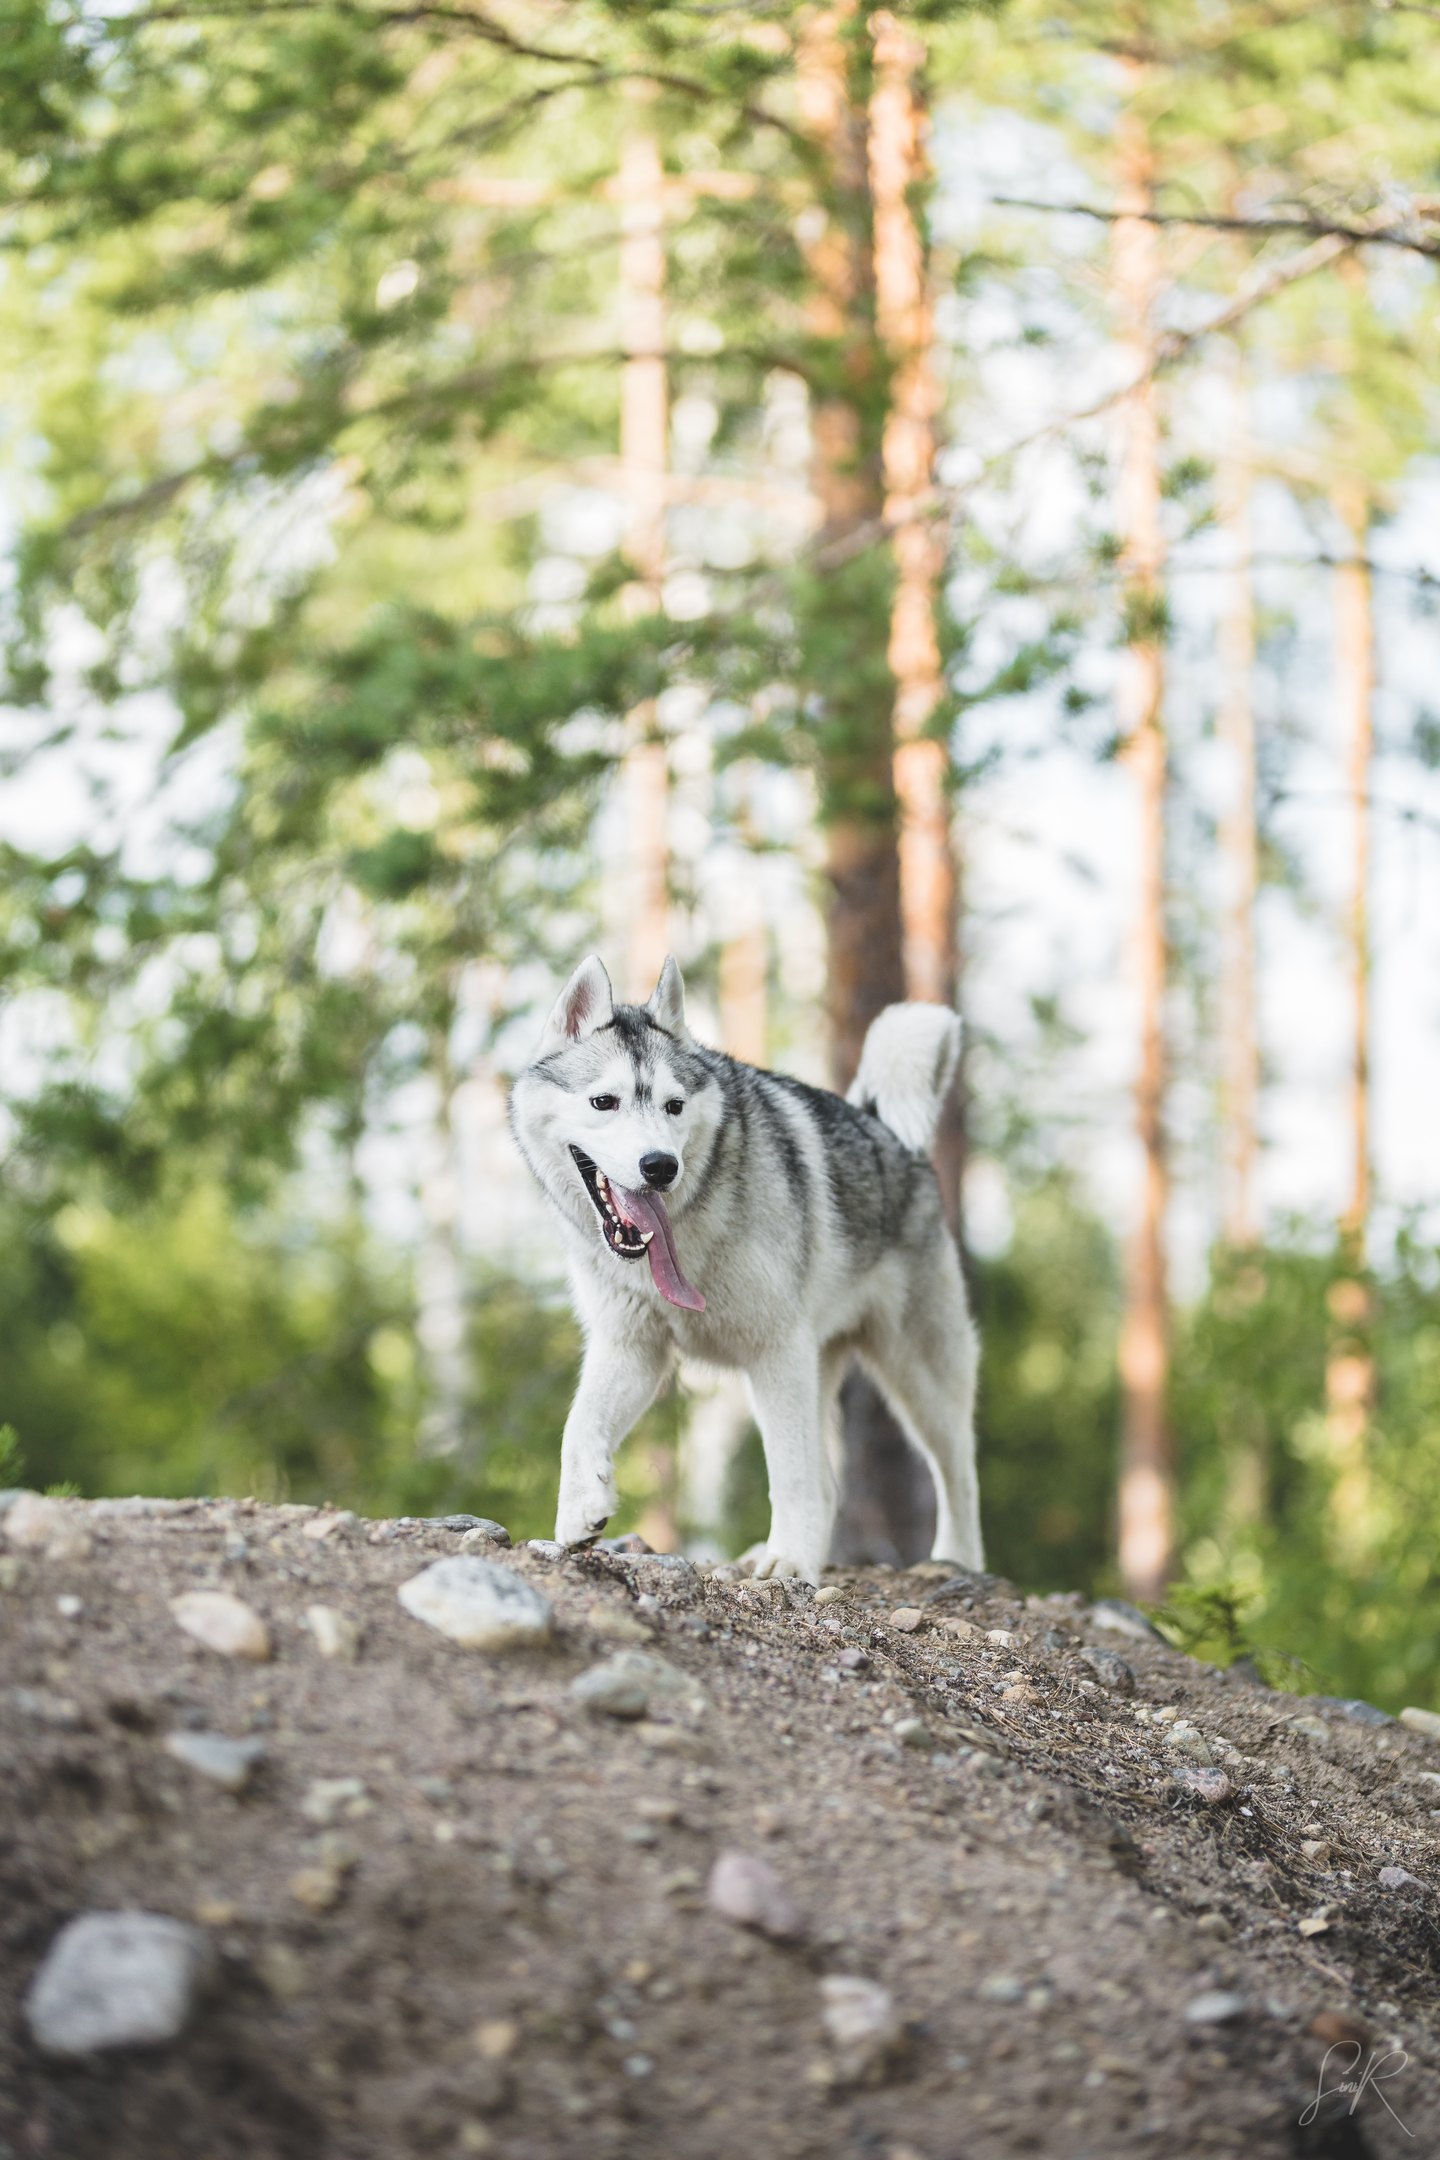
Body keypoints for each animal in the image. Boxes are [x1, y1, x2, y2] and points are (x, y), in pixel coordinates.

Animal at [507, 954, 980, 1581]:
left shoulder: (775, 1351)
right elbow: (578, 1426)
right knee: (830, 1484)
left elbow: (789, 1472)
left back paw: (957, 1560)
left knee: (956, 1471)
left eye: (674, 1106)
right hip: (818, 1372)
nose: (660, 1167)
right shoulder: (632, 1348)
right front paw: (582, 1509)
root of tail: (882, 1125)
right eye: (603, 1102)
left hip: (916, 1376)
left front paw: (789, 1562)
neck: (685, 1238)